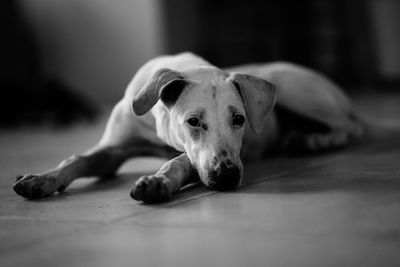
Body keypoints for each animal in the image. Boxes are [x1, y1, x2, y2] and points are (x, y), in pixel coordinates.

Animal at [11, 52, 366, 203]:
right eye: (193, 121)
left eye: (239, 119)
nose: (227, 177)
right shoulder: (111, 151)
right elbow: (77, 159)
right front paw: (40, 179)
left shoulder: (197, 158)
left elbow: (180, 161)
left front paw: (156, 181)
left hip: (293, 88)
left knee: (349, 126)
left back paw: (316, 139)